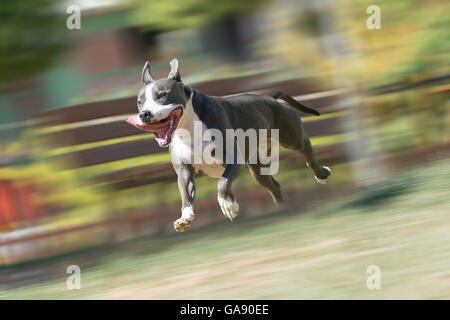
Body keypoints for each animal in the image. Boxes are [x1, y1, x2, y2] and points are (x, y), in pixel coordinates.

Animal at [125, 58, 330, 231]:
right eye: (139, 102)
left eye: (162, 95)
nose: (144, 114)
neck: (189, 126)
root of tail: (268, 97)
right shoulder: (184, 170)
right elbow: (186, 194)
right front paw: (185, 217)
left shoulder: (233, 160)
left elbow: (222, 183)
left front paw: (228, 205)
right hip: (257, 167)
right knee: (273, 185)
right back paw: (285, 211)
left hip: (291, 136)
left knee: (306, 149)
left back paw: (321, 173)